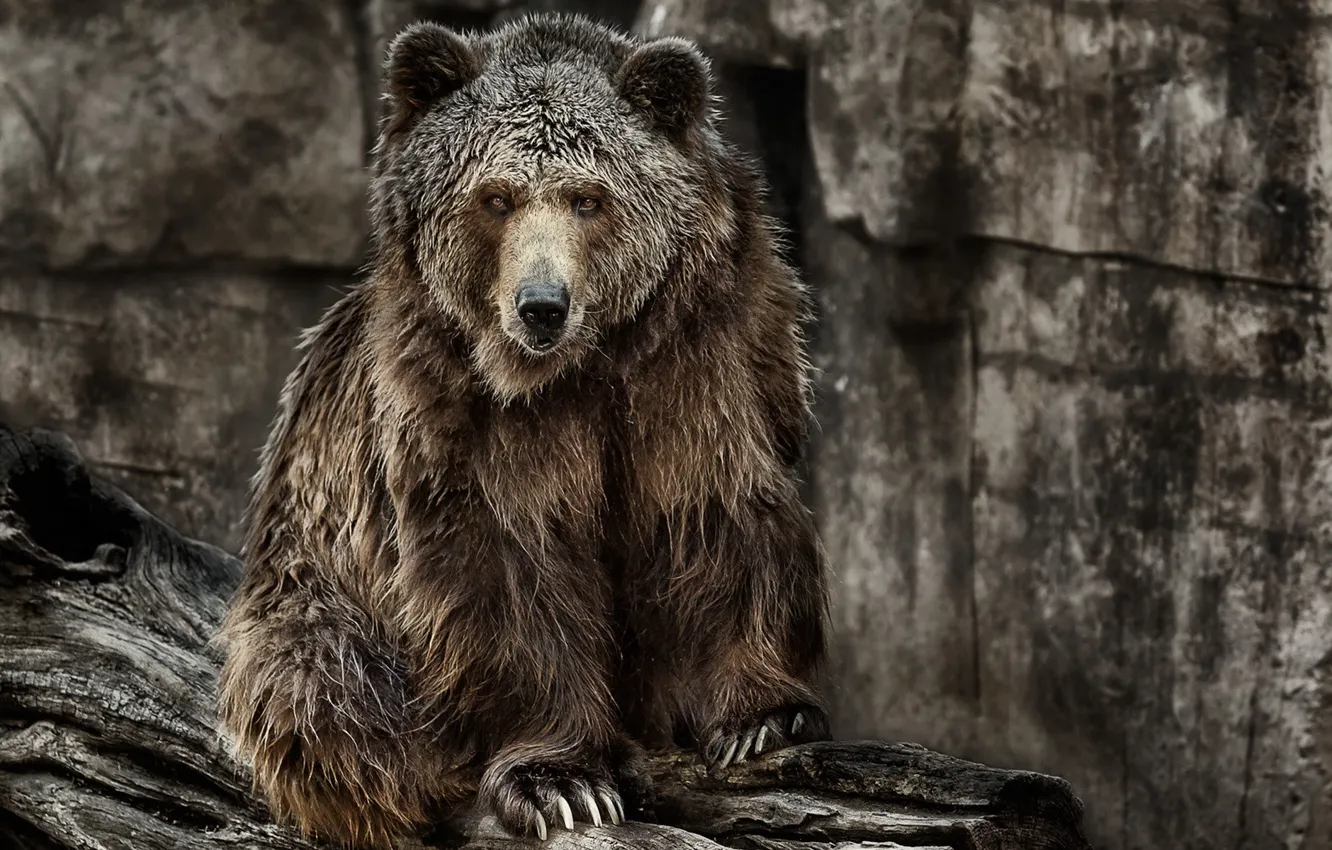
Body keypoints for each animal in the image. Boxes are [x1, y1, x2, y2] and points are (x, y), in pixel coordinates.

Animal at [215, 11, 830, 848]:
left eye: (588, 198)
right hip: (312, 581)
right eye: (496, 197)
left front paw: (762, 718)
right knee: (325, 691)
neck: (581, 367)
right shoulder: (464, 408)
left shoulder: (699, 357)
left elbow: (710, 510)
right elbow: (515, 567)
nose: (542, 305)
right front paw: (561, 784)